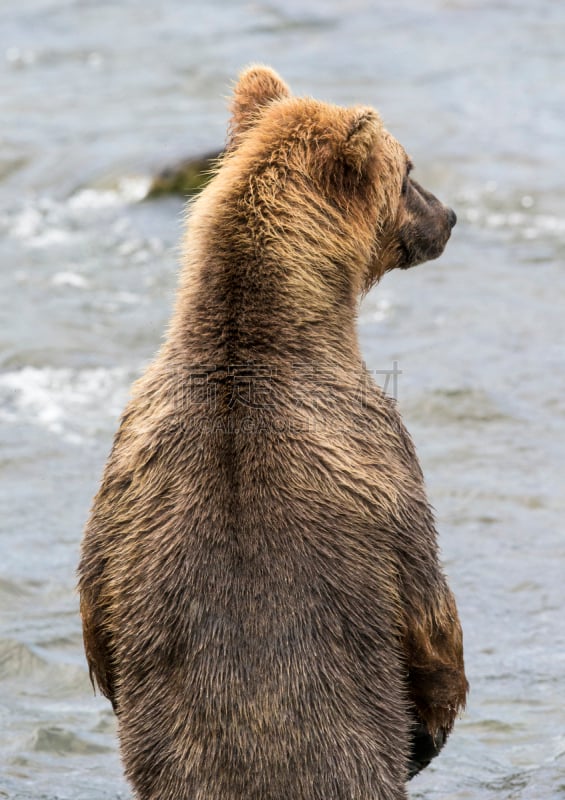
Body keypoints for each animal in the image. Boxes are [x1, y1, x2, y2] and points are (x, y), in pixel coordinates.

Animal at [78, 65, 468, 796]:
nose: (449, 216)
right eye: (408, 170)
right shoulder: (376, 447)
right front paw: (433, 720)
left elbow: (95, 601)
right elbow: (427, 602)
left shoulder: (129, 455)